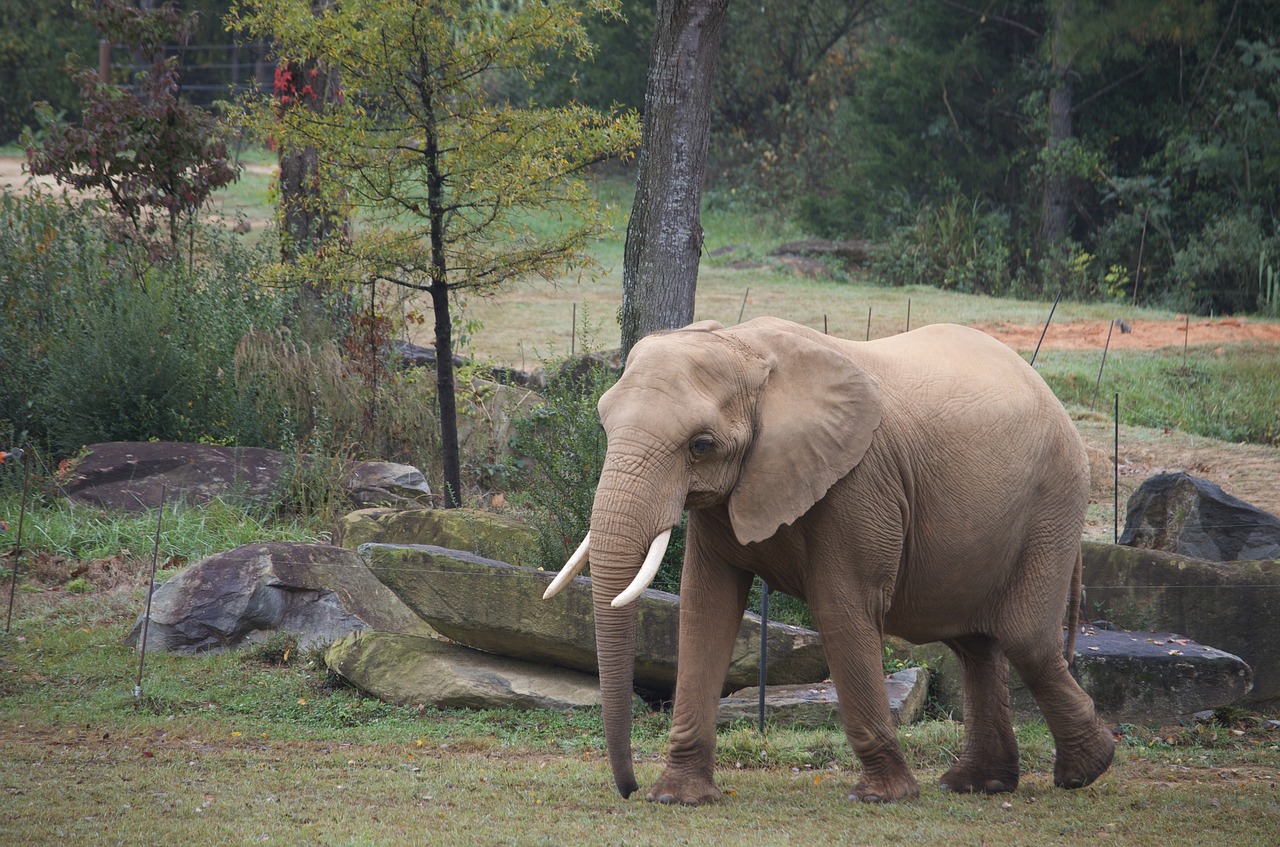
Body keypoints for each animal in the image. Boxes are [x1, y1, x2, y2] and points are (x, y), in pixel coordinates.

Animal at [540, 318, 1111, 808]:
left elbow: (840, 608)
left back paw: (1086, 771)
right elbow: (706, 609)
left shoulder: (859, 482)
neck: (745, 344)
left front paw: (882, 797)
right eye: (604, 424)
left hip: (1052, 503)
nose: (629, 789)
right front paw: (676, 798)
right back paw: (977, 784)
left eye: (701, 445)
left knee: (1024, 639)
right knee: (975, 645)